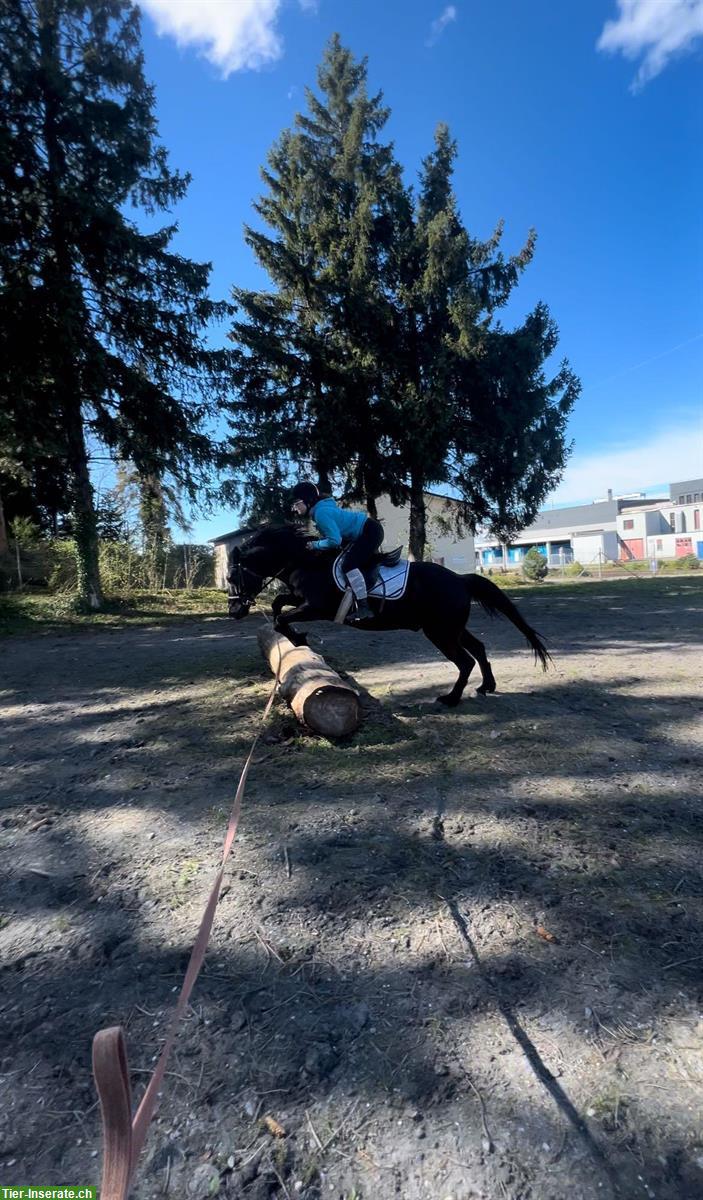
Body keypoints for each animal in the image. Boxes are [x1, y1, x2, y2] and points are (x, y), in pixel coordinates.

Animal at [226, 523, 549, 700]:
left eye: (232, 576)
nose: (234, 612)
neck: (306, 562)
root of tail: (460, 579)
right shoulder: (300, 599)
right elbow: (279, 605)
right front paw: (296, 636)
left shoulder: (318, 608)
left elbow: (281, 616)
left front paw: (298, 638)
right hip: (451, 628)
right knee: (479, 649)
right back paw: (486, 686)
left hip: (440, 632)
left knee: (465, 661)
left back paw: (451, 699)